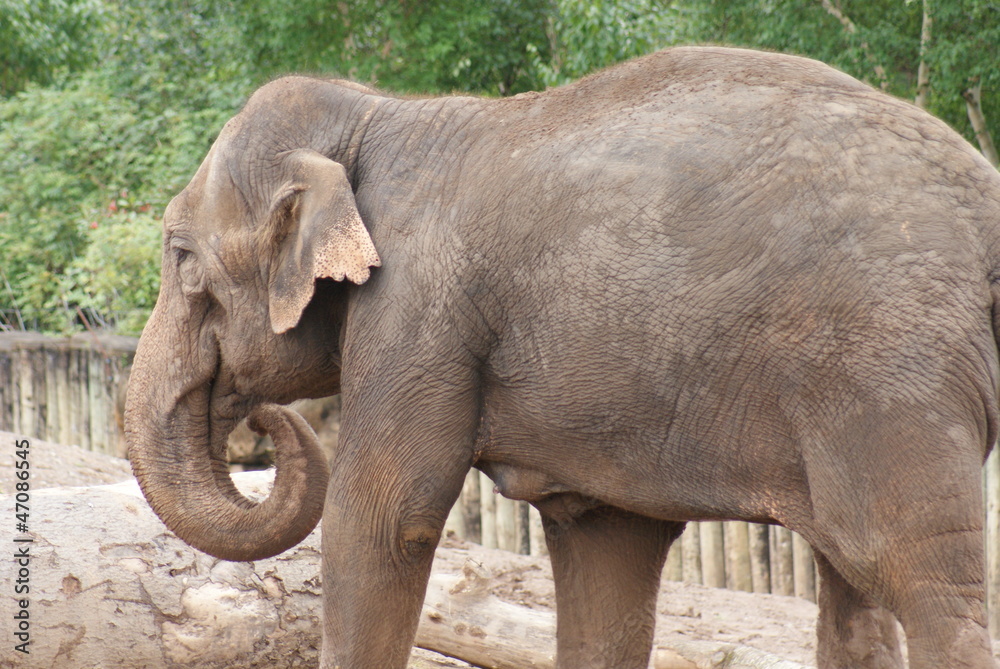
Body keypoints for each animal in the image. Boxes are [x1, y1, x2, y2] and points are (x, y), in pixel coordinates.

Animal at [124, 45, 1000, 668]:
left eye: (182, 259)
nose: (263, 421)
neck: (376, 111)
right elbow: (605, 555)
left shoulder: (418, 311)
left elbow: (383, 521)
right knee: (856, 588)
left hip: (892, 374)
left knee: (914, 572)